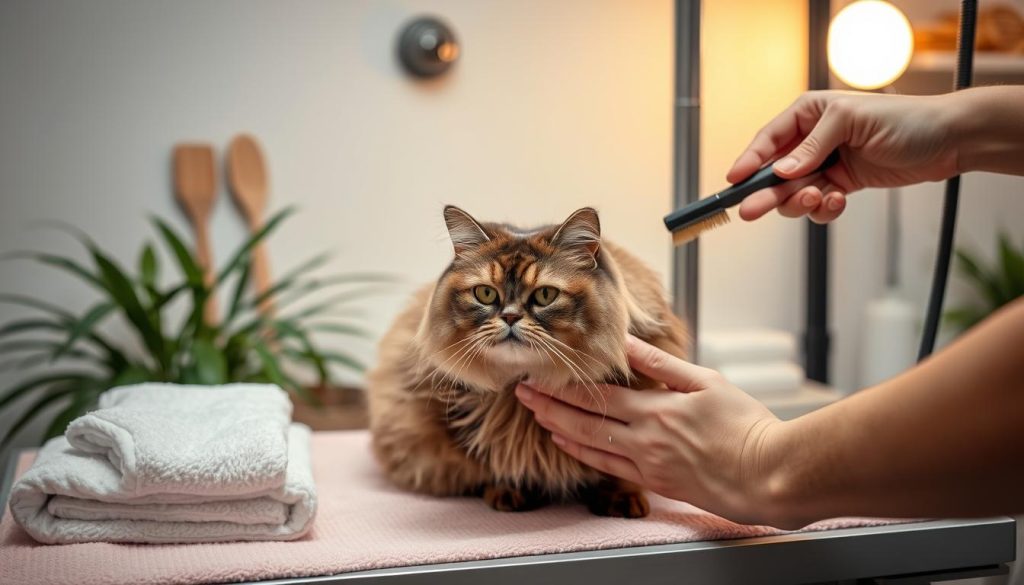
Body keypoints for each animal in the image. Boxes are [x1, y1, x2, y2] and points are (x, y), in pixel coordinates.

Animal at [368, 204, 688, 516]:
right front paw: (510, 490)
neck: (525, 376)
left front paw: (621, 496)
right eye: (485, 293)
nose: (510, 317)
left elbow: (620, 467)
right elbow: (498, 456)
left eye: (545, 295)